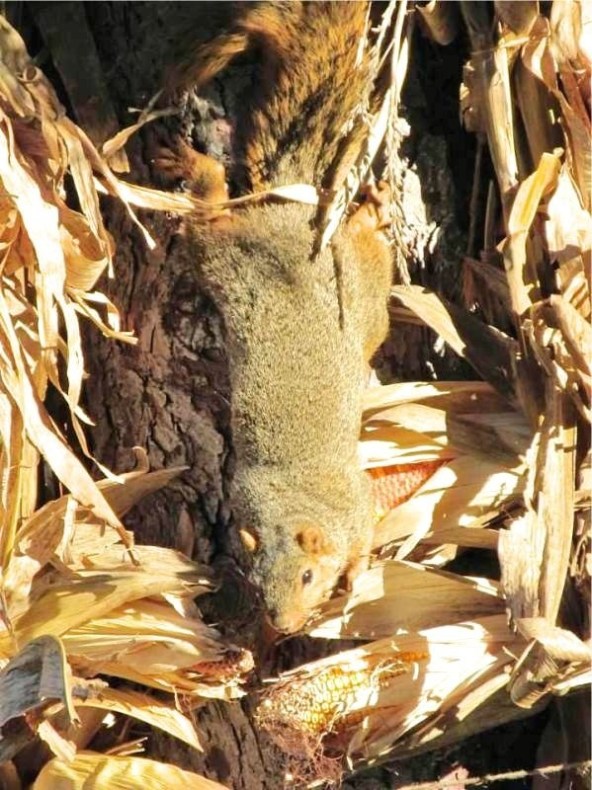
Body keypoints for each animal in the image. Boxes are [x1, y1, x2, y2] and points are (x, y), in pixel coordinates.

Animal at [158, 1, 393, 634]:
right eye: (259, 591)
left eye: (308, 576)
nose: (283, 625)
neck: (295, 499)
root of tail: (287, 213)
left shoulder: (358, 502)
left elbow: (364, 542)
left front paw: (356, 578)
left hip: (333, 285)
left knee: (212, 216)